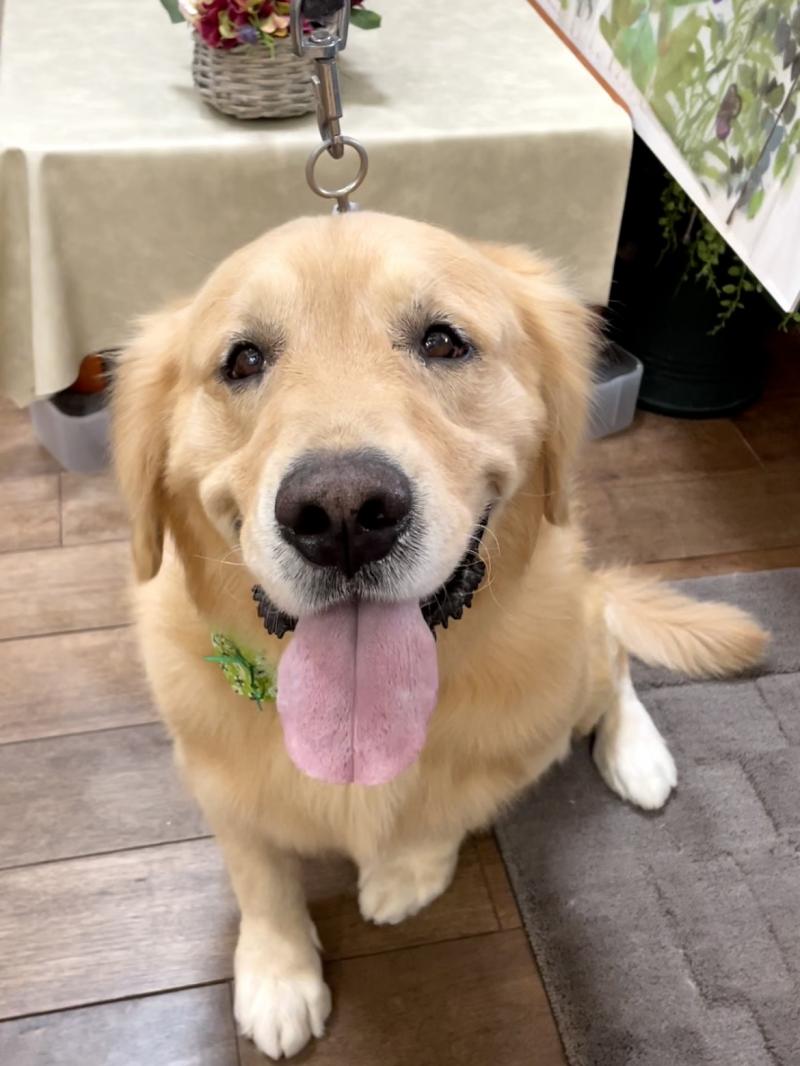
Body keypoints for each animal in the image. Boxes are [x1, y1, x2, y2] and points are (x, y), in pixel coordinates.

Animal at [112, 212, 766, 1060]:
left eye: (444, 342)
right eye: (243, 359)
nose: (344, 513)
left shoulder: (514, 749)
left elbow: (444, 816)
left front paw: (406, 876)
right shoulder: (215, 775)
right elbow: (260, 872)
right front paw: (278, 973)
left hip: (573, 657)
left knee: (612, 649)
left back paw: (638, 754)